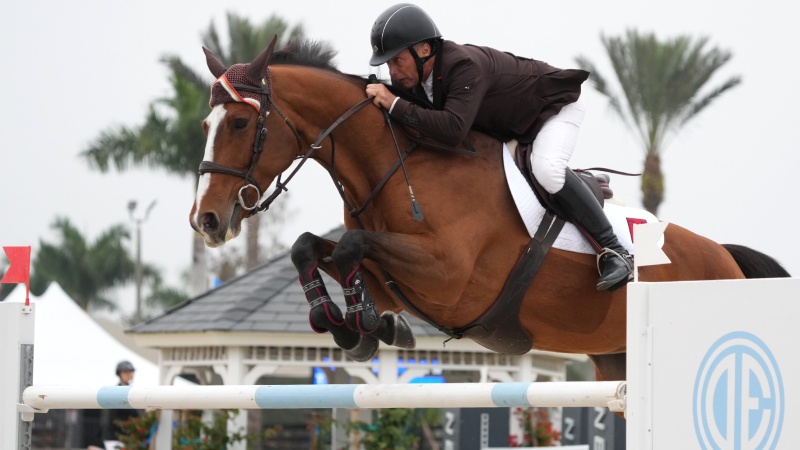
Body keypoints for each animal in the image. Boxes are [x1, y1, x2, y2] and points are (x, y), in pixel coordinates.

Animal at [189, 39, 788, 384]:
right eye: (205, 125)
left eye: (240, 123)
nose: (206, 221)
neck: (398, 163)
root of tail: (728, 259)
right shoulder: (396, 276)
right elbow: (313, 248)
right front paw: (354, 326)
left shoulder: (448, 276)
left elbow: (352, 248)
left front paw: (362, 324)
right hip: (614, 358)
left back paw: (616, 262)